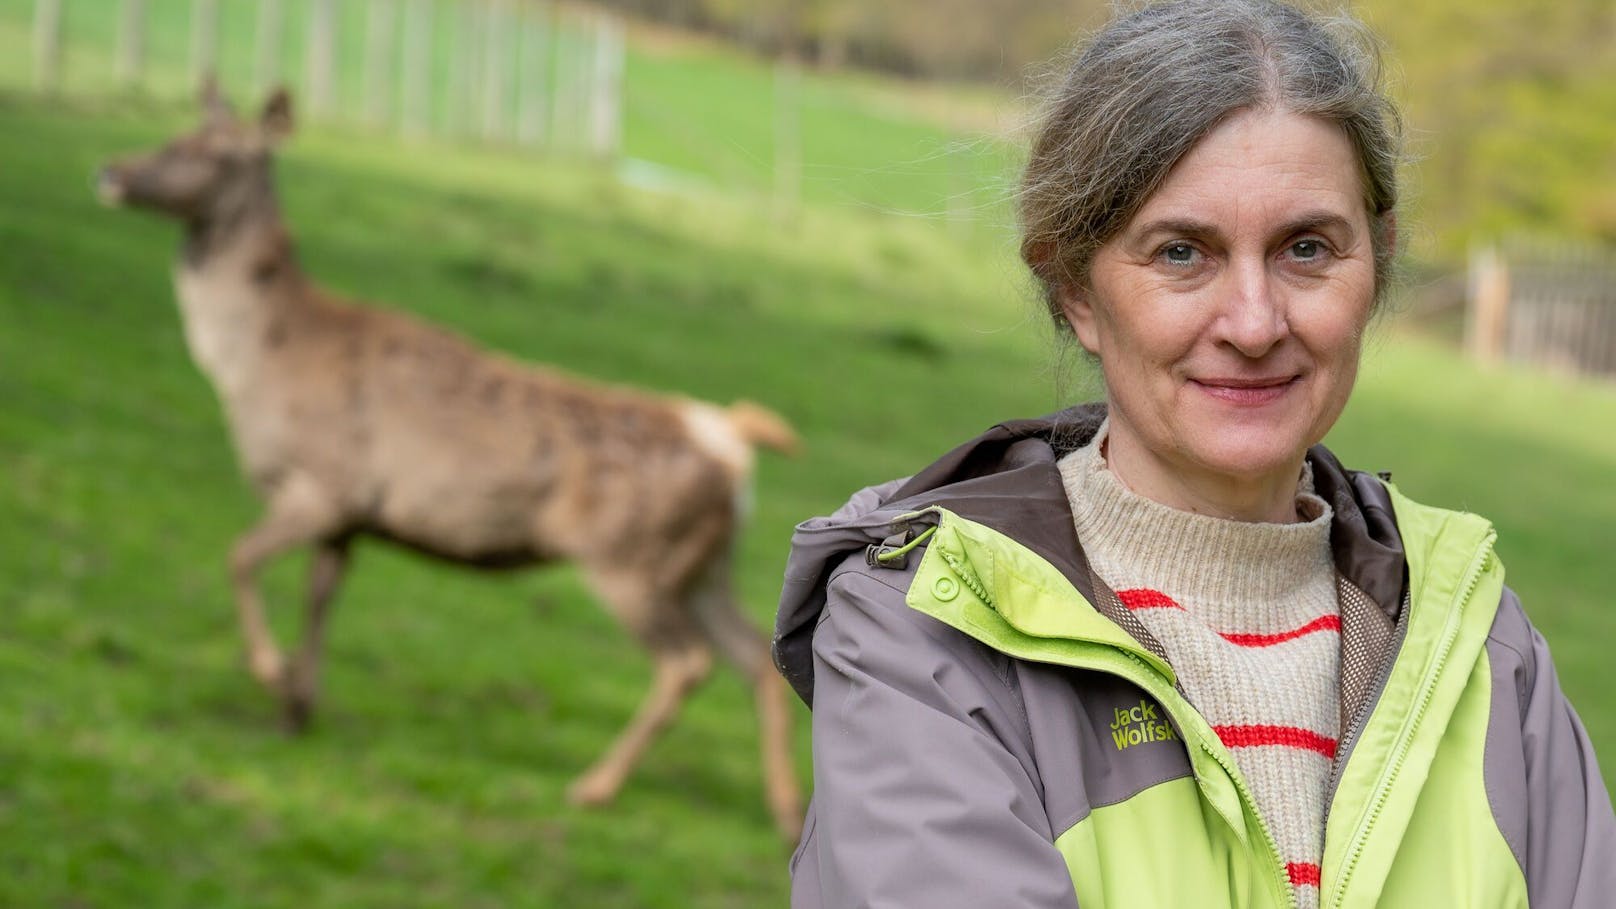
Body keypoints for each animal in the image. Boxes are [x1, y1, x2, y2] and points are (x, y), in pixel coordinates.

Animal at [97, 83, 804, 834]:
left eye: (211, 152)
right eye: (175, 133)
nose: (112, 171)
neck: (260, 362)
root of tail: (730, 439)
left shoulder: (325, 483)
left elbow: (239, 558)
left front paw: (272, 673)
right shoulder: (348, 517)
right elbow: (320, 593)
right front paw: (296, 706)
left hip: (631, 557)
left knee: (687, 662)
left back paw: (595, 786)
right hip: (702, 566)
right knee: (754, 654)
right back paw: (786, 811)